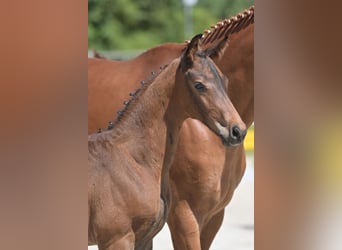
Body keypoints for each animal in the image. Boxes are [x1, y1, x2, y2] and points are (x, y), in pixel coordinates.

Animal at [88, 34, 246, 249]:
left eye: (225, 81)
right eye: (199, 85)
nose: (238, 130)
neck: (133, 159)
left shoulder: (144, 238)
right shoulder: (117, 239)